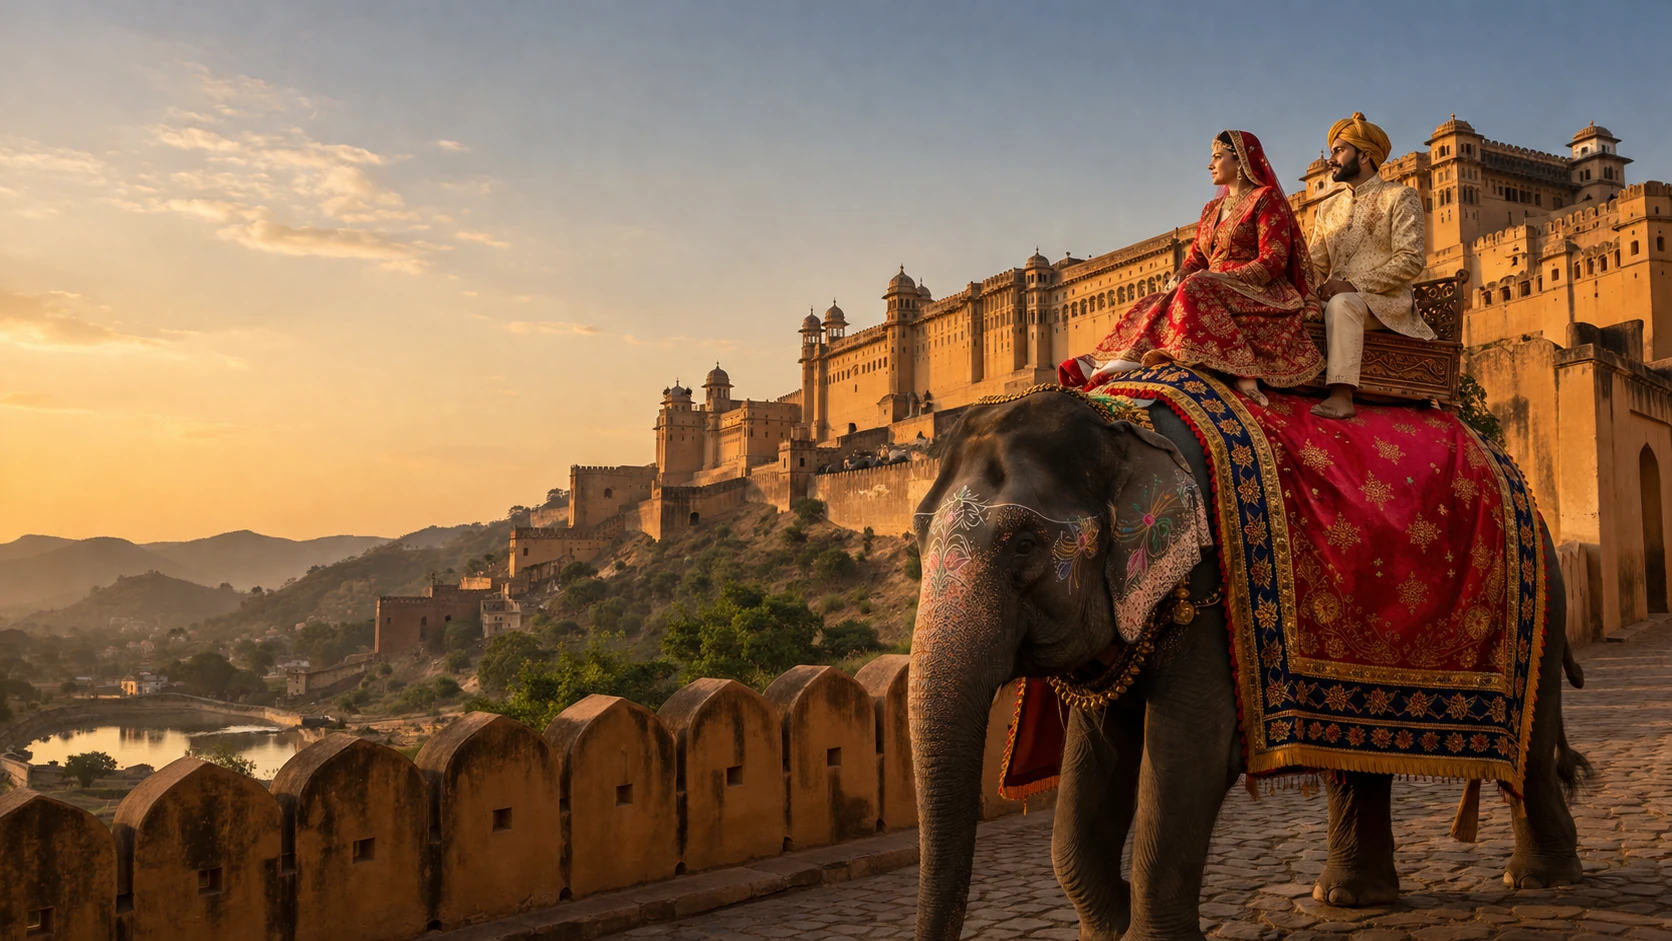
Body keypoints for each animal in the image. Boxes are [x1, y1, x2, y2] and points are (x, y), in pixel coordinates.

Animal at [906, 391, 1589, 941]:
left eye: (1023, 544)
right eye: (916, 541)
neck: (1117, 421)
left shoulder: (1211, 579)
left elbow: (1189, 754)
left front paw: (1140, 929)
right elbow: (1091, 767)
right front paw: (1113, 924)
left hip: (1540, 600)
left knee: (1530, 744)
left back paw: (1539, 882)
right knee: (1358, 757)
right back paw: (1349, 898)